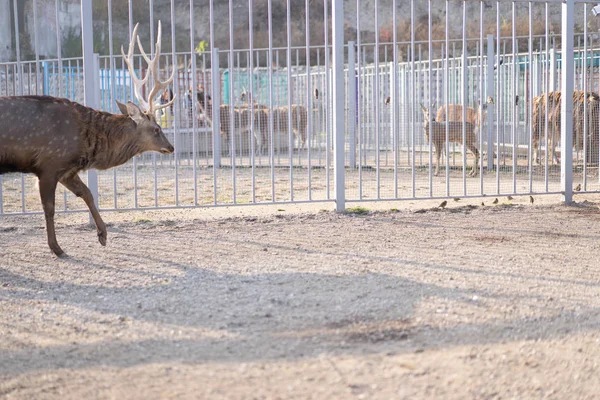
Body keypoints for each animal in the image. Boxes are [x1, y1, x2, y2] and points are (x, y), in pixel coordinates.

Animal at [0, 21, 177, 256]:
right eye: (157, 129)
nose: (171, 147)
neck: (86, 145)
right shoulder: (48, 165)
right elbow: (50, 209)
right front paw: (56, 248)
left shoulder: (67, 170)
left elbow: (87, 193)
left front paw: (103, 235)